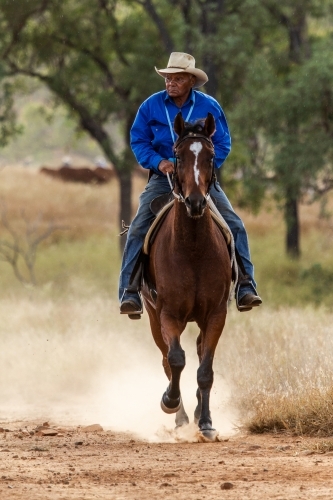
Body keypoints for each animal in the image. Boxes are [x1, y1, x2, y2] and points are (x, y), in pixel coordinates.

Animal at [142, 113, 231, 442]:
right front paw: (170, 402)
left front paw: (205, 422)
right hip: (153, 316)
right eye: (178, 156)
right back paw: (179, 415)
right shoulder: (168, 314)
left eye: (211, 156)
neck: (192, 247)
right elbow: (176, 360)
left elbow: (205, 370)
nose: (195, 202)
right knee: (168, 359)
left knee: (199, 352)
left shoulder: (216, 314)